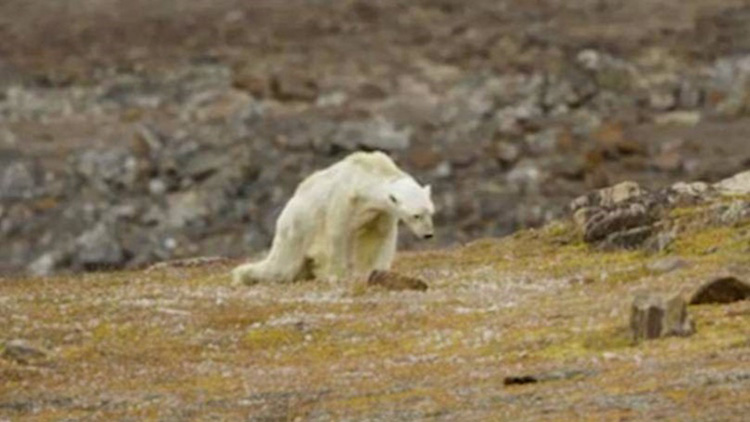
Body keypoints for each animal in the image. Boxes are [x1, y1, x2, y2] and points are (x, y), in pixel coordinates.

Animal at [232, 151, 435, 285]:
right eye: (416, 215)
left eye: (430, 212)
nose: (428, 235)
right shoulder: (344, 200)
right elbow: (338, 234)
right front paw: (337, 275)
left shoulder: (380, 212)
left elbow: (379, 236)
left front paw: (375, 272)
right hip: (297, 227)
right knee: (282, 266)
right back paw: (243, 274)